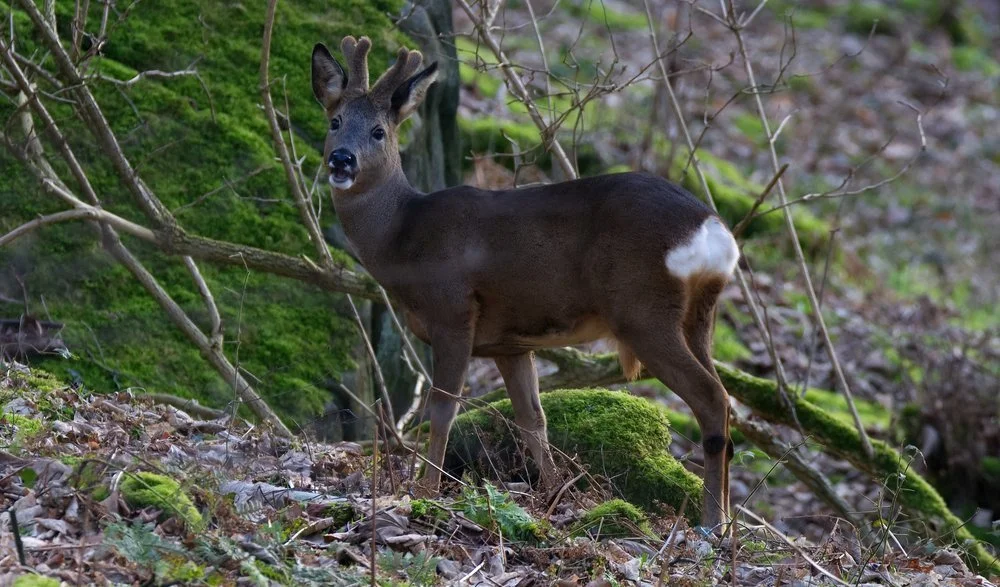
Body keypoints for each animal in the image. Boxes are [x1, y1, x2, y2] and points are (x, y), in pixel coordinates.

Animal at [311, 36, 740, 531]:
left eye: (379, 131)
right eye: (335, 121)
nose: (341, 159)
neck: (402, 239)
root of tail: (713, 231)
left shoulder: (452, 310)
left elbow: (443, 408)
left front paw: (425, 492)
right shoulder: (510, 343)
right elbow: (533, 418)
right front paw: (555, 498)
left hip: (644, 310)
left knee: (712, 398)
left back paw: (713, 524)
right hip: (699, 317)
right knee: (725, 400)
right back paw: (726, 523)